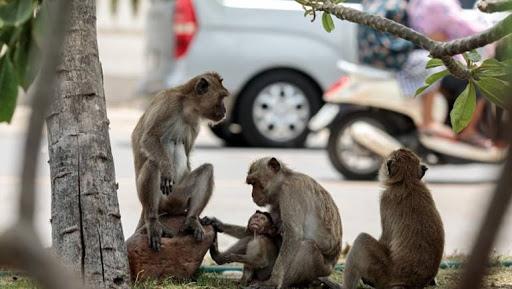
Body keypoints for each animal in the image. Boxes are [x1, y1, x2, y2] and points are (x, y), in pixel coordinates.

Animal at [245, 158, 344, 288]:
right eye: (251, 184)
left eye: (255, 183)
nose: (252, 195)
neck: (284, 181)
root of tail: (332, 266)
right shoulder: (277, 201)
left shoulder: (290, 192)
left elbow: (293, 234)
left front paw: (272, 282)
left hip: (321, 268)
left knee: (307, 247)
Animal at [342, 148, 446, 288]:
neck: (407, 181)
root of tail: (408, 283)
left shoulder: (385, 199)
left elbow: (385, 239)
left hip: (384, 273)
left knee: (361, 239)